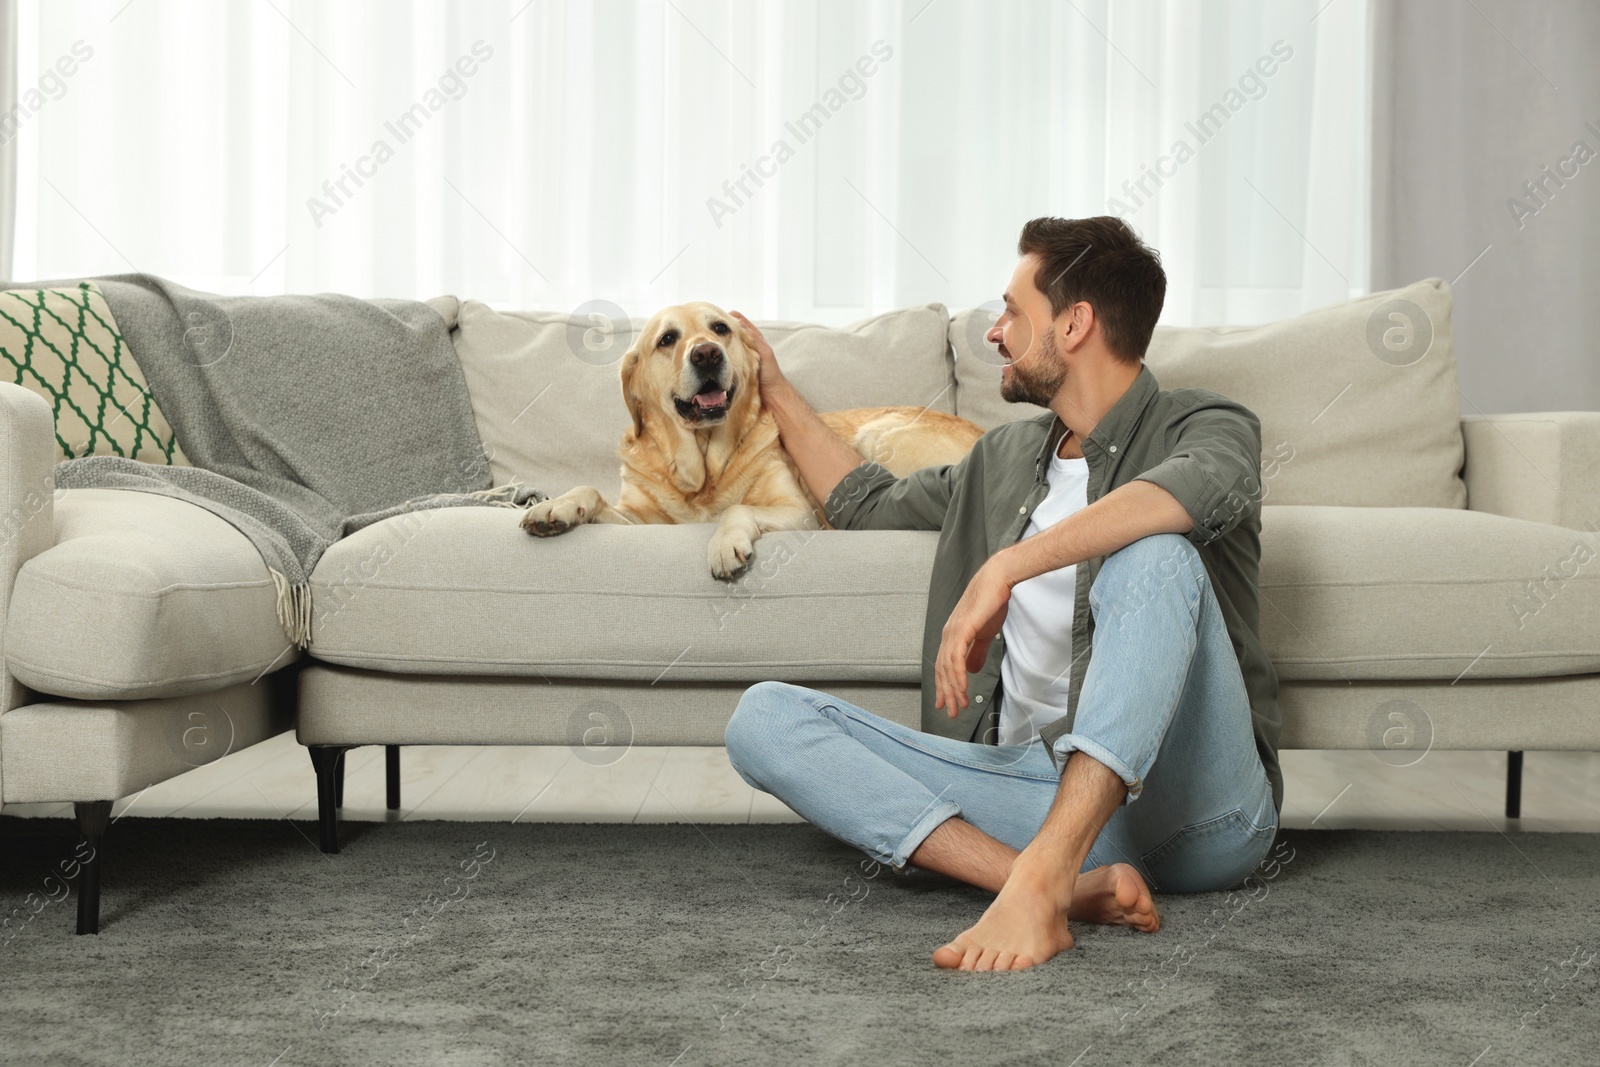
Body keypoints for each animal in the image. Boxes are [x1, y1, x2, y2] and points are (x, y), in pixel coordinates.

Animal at [518, 300, 979, 579]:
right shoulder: (639, 521)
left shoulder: (798, 512)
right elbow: (592, 493)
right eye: (667, 339)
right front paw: (556, 507)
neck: (703, 466)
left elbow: (737, 508)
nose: (706, 353)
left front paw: (725, 544)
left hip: (875, 438)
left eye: (720, 328)